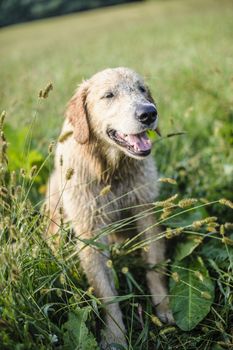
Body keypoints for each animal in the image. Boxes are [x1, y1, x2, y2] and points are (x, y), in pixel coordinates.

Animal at [46, 67, 173, 348]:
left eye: (142, 89)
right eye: (108, 95)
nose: (148, 113)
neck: (109, 168)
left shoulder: (145, 212)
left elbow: (154, 268)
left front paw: (163, 307)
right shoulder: (90, 234)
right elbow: (107, 294)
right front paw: (115, 335)